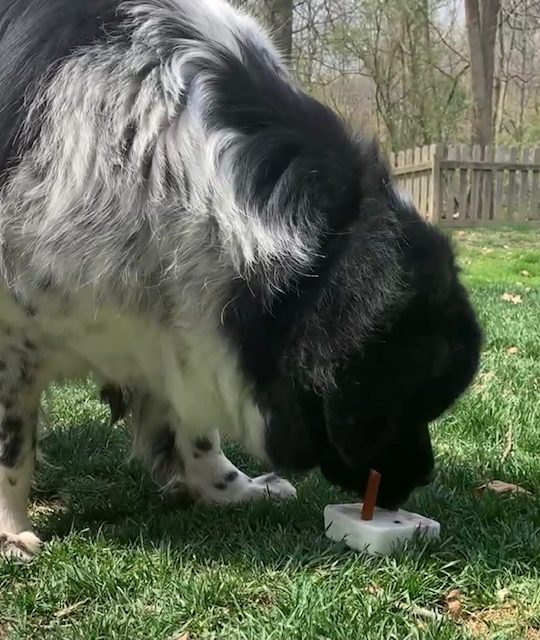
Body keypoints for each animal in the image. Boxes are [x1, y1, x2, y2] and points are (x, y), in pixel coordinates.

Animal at [0, 0, 480, 560]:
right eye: (403, 405)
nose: (424, 475)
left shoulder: (171, 326)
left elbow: (192, 425)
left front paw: (231, 488)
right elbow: (12, 445)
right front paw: (10, 531)